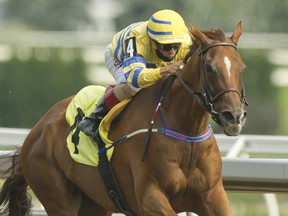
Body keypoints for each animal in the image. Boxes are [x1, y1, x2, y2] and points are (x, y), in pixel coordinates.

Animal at [0, 22, 248, 216]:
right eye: (209, 67)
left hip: (95, 203)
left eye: (242, 67)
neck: (186, 134)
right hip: (57, 196)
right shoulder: (150, 198)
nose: (234, 116)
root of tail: (36, 132)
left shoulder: (213, 196)